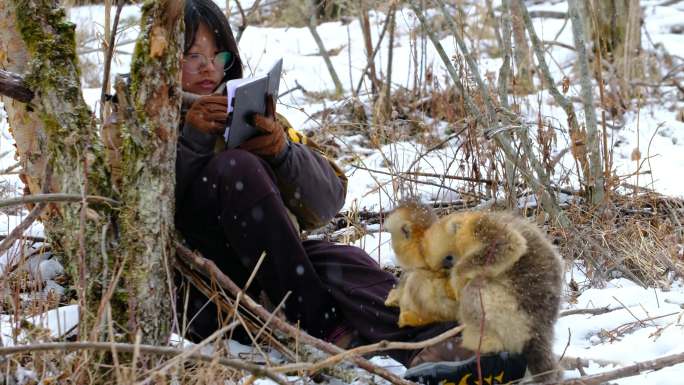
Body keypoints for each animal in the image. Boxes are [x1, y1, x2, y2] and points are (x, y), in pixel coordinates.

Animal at [382, 204, 564, 380]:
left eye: (449, 259)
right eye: (445, 262)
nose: (448, 270)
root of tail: (538, 332)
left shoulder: (474, 227)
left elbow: (508, 244)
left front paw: (457, 277)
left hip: (512, 320)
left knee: (473, 290)